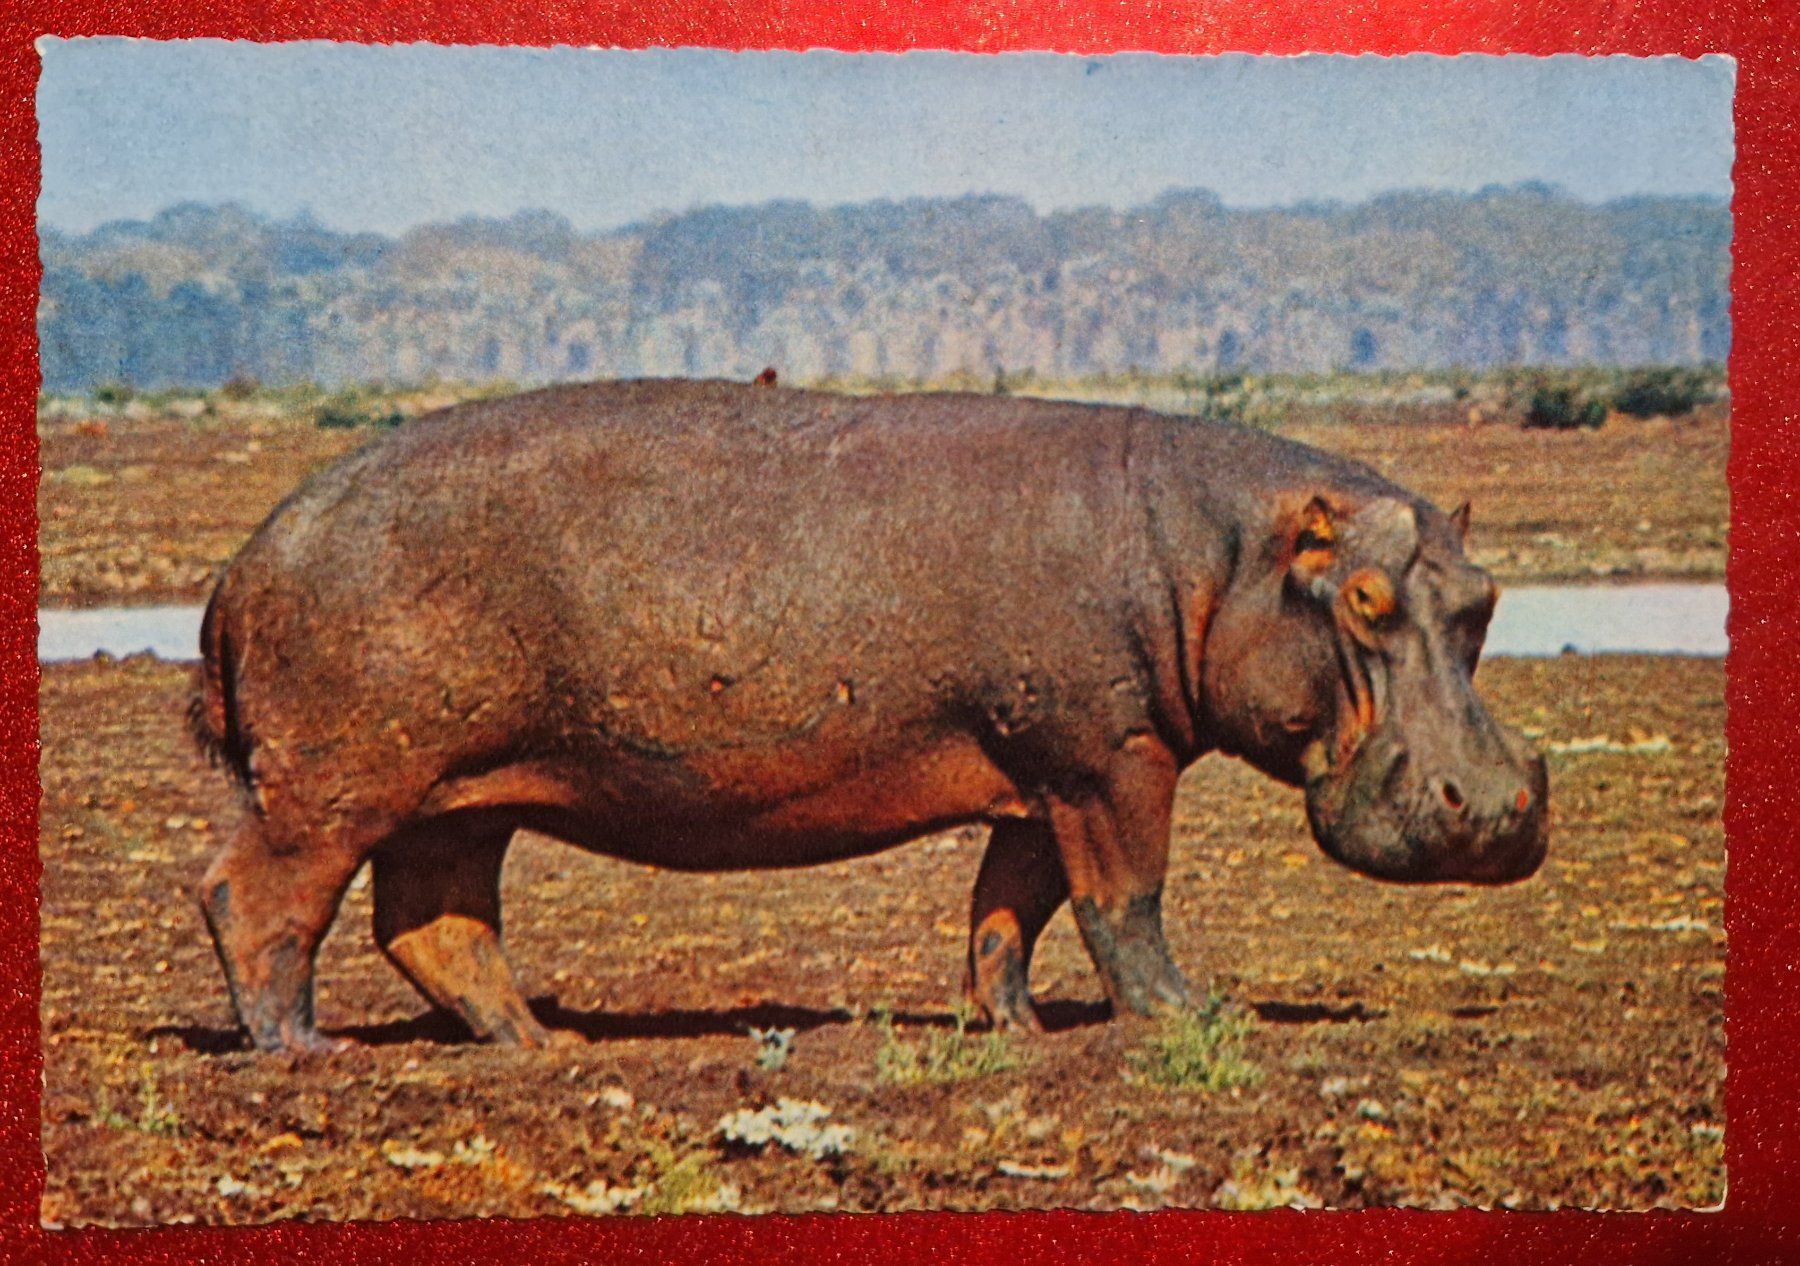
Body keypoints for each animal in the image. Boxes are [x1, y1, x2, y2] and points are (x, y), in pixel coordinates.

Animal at [189, 379, 1547, 1054]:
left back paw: (542, 1047)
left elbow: (1008, 909)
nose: (1492, 807)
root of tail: (244, 560)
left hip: (461, 796)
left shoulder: (1041, 773)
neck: (1226, 555)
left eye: (1485, 596)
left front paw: (1012, 1028)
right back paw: (300, 1052)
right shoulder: (1113, 761)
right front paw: (1188, 1018)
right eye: (1364, 597)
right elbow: (1125, 902)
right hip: (334, 787)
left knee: (436, 923)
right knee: (254, 897)